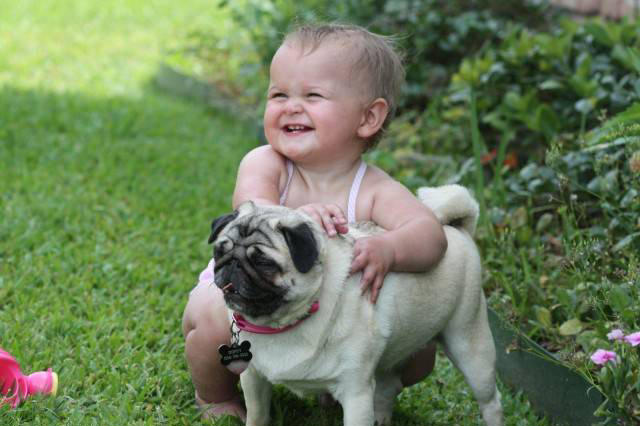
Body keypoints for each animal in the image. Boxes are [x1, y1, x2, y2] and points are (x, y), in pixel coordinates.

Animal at [208, 186, 502, 426]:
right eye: (220, 251)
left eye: (264, 263)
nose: (231, 264)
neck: (286, 321)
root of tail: (455, 229)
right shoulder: (253, 377)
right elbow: (257, 416)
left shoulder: (355, 392)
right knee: (388, 386)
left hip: (470, 345)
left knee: (491, 401)